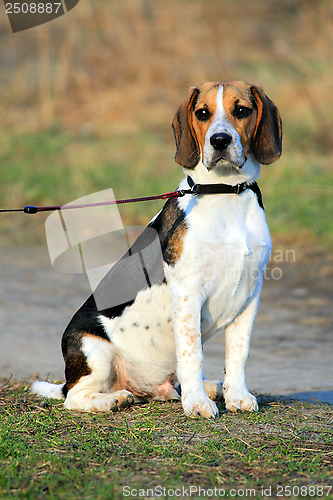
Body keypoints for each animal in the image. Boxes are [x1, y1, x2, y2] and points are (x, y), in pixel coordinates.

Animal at [31, 81, 282, 418]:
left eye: (241, 110)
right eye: (202, 113)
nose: (219, 140)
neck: (225, 192)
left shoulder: (249, 296)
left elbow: (238, 354)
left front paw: (237, 395)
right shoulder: (189, 294)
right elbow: (192, 353)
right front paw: (197, 403)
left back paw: (210, 386)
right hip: (93, 350)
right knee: (74, 397)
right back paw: (113, 399)